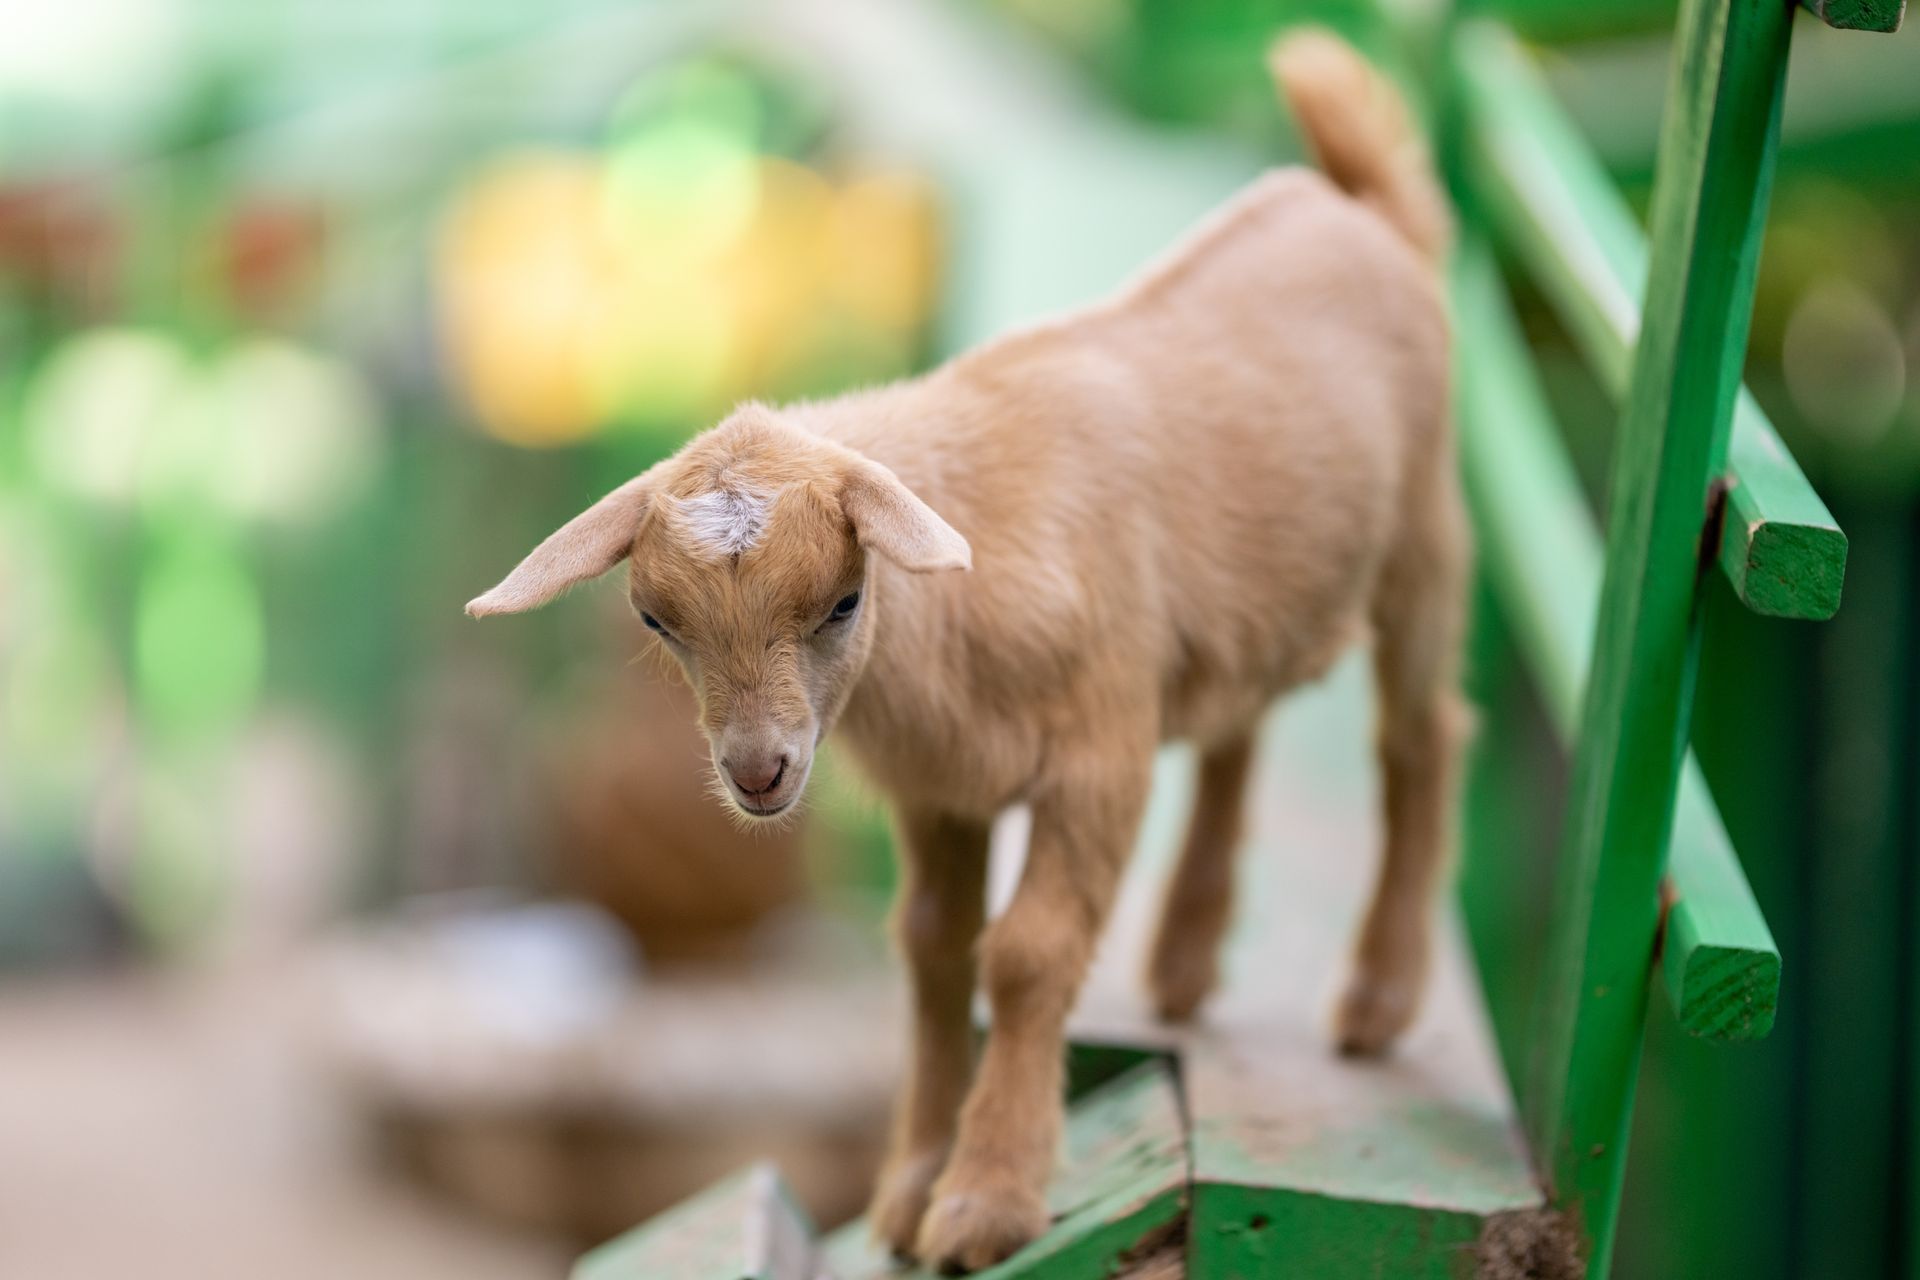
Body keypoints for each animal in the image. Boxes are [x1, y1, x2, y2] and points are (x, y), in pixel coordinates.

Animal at [468, 30, 1467, 1273]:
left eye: (845, 600)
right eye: (658, 621)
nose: (758, 772)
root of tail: (1359, 204)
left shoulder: (1096, 755)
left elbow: (1026, 952)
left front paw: (986, 1199)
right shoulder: (943, 788)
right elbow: (936, 950)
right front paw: (908, 1191)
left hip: (1425, 533)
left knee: (1420, 736)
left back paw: (1379, 997)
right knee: (1237, 723)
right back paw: (1185, 964)